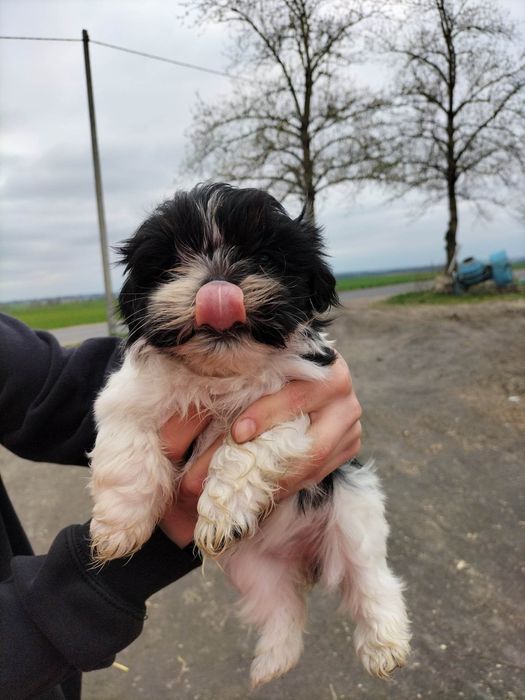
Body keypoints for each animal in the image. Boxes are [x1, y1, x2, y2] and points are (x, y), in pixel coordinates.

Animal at [89, 183, 410, 688]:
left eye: (262, 257)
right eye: (173, 260)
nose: (218, 285)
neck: (222, 374)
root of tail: (301, 557)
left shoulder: (295, 404)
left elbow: (244, 445)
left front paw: (221, 509)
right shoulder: (126, 397)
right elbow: (127, 450)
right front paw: (118, 526)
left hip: (353, 514)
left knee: (371, 579)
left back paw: (384, 644)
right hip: (252, 566)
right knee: (282, 605)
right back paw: (274, 660)